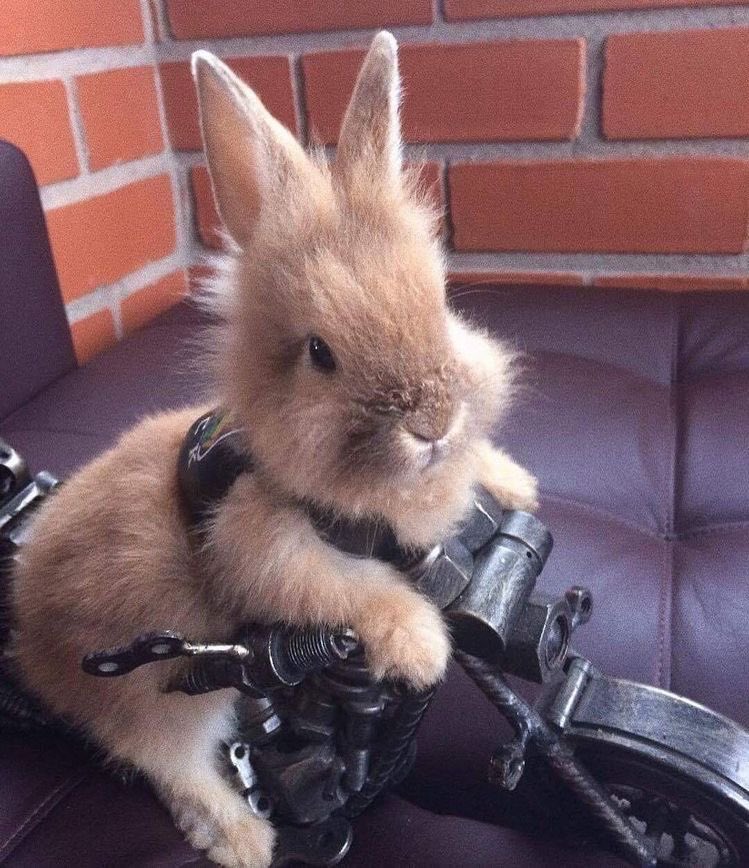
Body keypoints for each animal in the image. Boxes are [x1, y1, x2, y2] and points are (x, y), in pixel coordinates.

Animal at [10, 31, 537, 868]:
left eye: (442, 304)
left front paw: (515, 480)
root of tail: (28, 642)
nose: (432, 425)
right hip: (157, 696)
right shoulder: (260, 546)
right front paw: (421, 647)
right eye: (320, 353)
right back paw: (245, 839)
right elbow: (347, 589)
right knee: (170, 763)